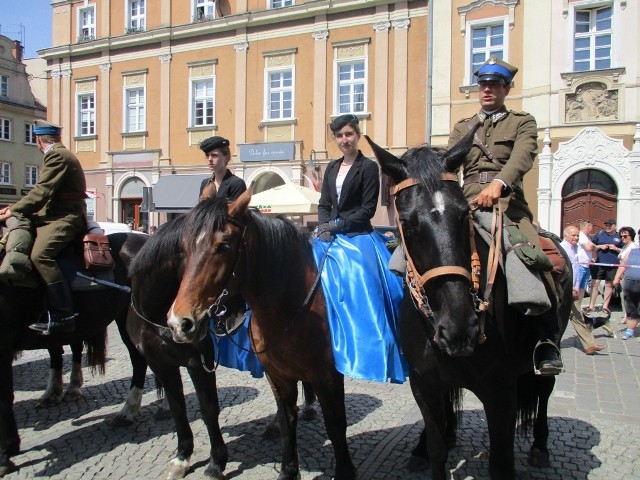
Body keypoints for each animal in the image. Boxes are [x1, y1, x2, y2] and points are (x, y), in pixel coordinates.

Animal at [168, 195, 358, 480]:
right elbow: (287, 420)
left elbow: (336, 424)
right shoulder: (278, 376)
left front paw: (345, 471)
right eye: (183, 248)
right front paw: (289, 470)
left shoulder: (329, 376)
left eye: (224, 246)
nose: (179, 323)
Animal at [362, 133, 572, 480]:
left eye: (464, 216)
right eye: (407, 223)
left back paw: (541, 446)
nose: (459, 327)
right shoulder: (424, 384)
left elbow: (500, 463)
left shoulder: (501, 393)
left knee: (544, 389)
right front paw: (430, 448)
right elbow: (437, 450)